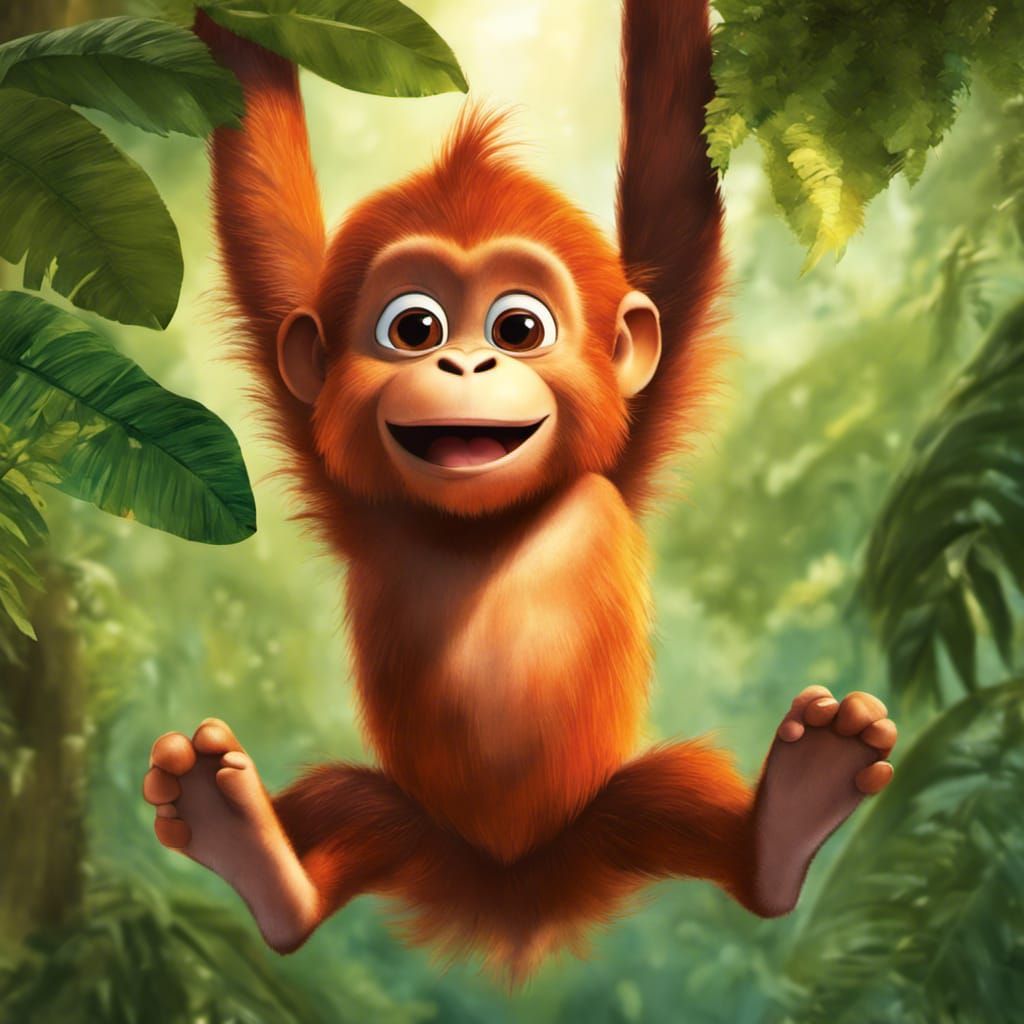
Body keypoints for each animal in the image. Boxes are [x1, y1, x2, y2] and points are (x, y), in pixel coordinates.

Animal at [141, 1, 898, 980]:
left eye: (518, 327)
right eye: (414, 327)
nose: (466, 362)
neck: (485, 523)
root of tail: (510, 893)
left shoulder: (619, 441)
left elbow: (677, 178)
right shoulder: (346, 471)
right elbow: (264, 213)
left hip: (607, 823)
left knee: (677, 800)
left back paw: (788, 822)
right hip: (408, 829)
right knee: (339, 809)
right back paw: (254, 854)